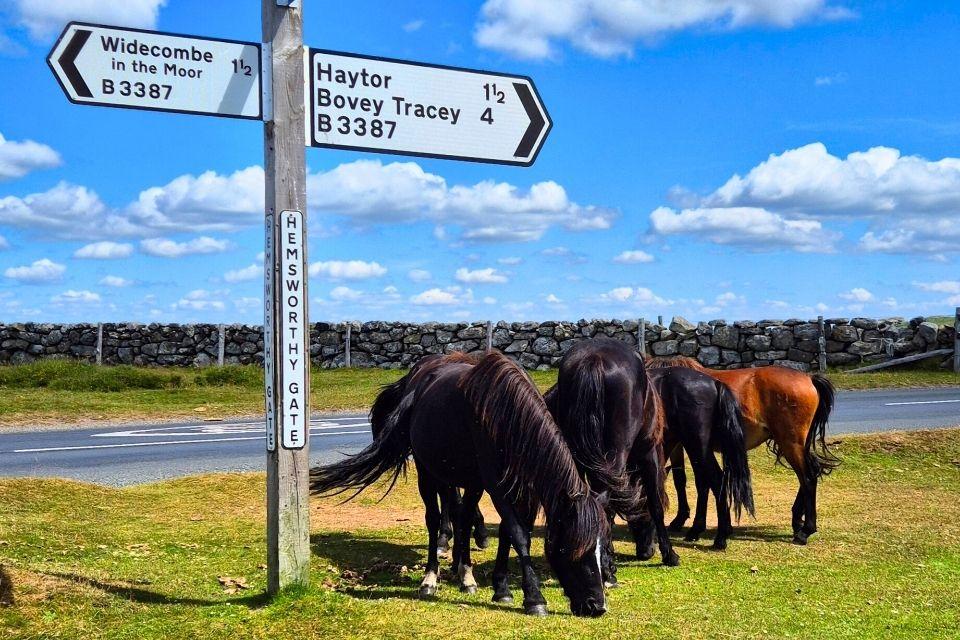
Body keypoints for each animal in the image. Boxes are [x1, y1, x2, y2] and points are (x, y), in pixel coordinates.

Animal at [310, 351, 609, 617]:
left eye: (600, 546)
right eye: (572, 549)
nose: (597, 606)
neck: (507, 416)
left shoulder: (514, 485)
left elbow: (504, 531)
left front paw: (499, 587)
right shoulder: (496, 484)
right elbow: (518, 534)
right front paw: (534, 598)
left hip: (462, 478)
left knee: (461, 516)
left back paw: (465, 575)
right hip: (428, 473)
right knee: (434, 518)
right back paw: (430, 578)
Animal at [647, 356, 838, 545]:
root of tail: (809, 378)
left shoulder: (688, 444)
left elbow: (699, 482)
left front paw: (691, 526)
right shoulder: (679, 444)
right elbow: (680, 479)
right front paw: (682, 521)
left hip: (790, 443)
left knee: (807, 478)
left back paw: (806, 530)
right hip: (795, 444)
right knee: (811, 472)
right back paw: (797, 521)